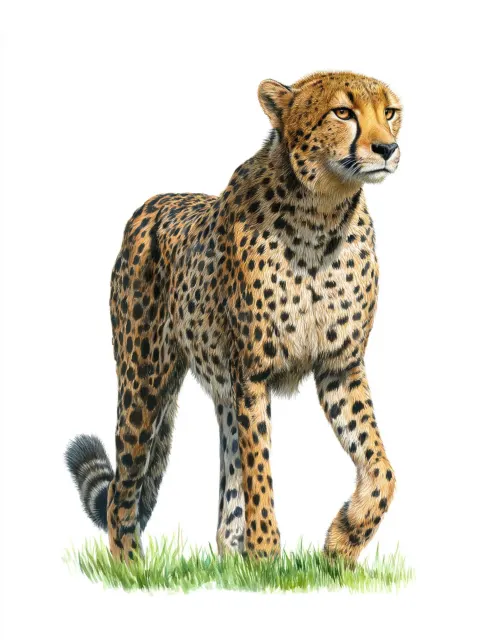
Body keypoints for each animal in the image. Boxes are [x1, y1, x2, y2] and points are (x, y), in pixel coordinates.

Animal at [66, 70, 402, 562]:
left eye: (390, 112)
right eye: (343, 112)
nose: (387, 149)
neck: (322, 216)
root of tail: (153, 203)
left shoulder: (340, 366)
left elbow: (380, 465)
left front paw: (343, 539)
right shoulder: (253, 372)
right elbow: (259, 468)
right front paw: (265, 552)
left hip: (220, 388)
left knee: (226, 469)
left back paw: (231, 553)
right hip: (144, 383)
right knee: (124, 489)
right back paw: (131, 565)